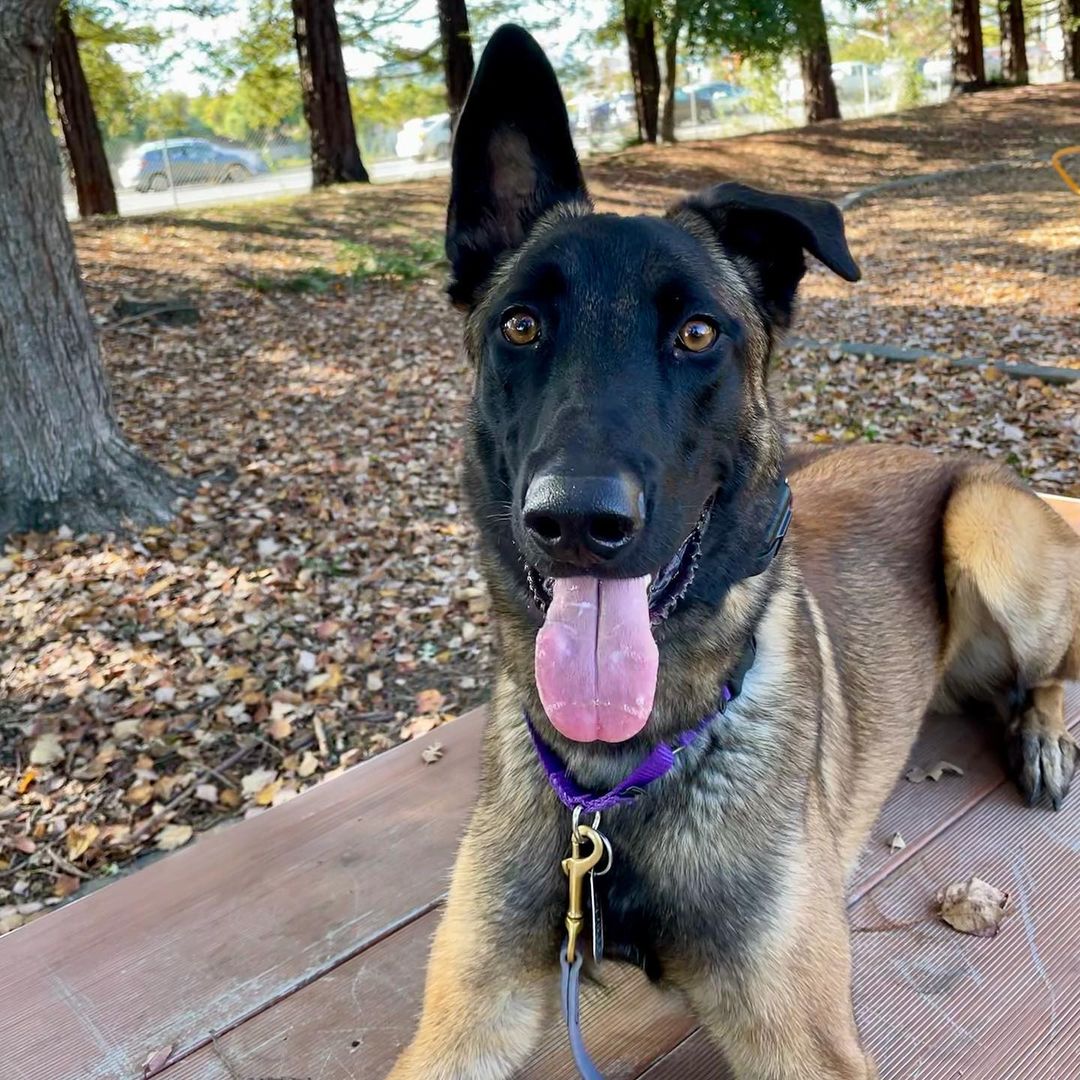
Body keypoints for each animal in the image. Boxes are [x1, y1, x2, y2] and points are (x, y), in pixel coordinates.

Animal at [388, 25, 1080, 1080]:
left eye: (697, 332)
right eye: (521, 325)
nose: (577, 521)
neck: (616, 787)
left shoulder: (802, 1041)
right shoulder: (466, 1018)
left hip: (990, 528)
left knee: (1056, 667)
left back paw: (1041, 733)